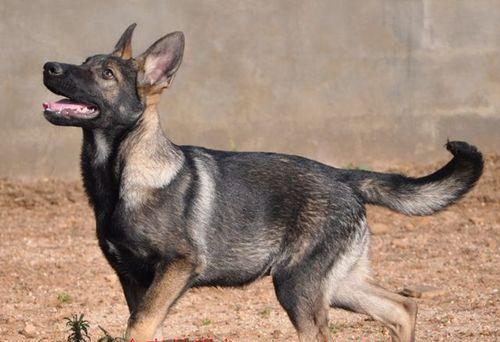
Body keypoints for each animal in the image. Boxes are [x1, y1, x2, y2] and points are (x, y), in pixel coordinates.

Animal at [44, 22, 484, 340]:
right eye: (84, 61)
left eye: (105, 73)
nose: (49, 67)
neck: (122, 173)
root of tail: (343, 176)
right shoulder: (134, 281)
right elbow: (146, 327)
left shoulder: (178, 267)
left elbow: (138, 328)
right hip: (337, 283)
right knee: (402, 307)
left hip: (297, 287)